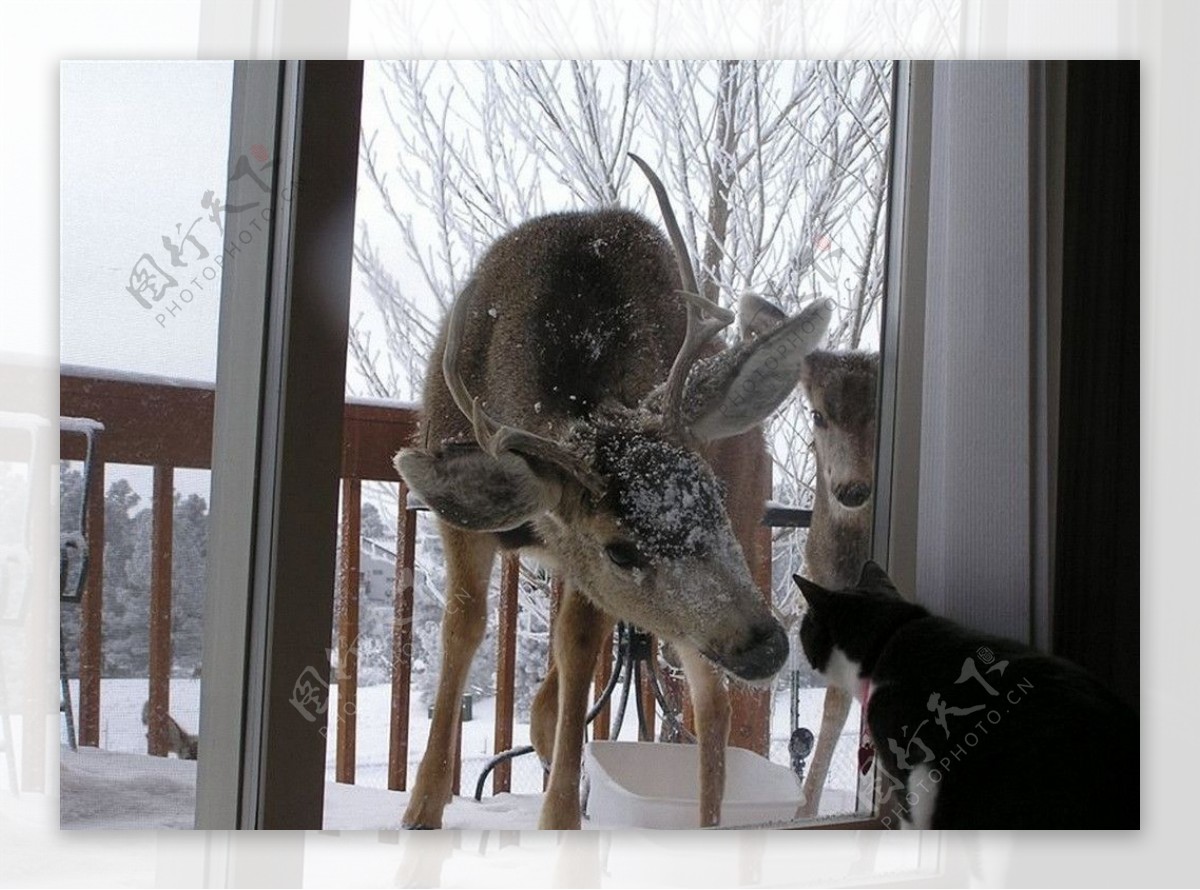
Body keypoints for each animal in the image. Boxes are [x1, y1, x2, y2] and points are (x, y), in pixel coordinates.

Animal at [398, 157, 830, 834]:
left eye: (709, 495)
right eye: (620, 549)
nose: (766, 644)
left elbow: (577, 645)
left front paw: (558, 816)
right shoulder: (469, 522)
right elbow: (463, 626)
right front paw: (422, 805)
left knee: (708, 700)